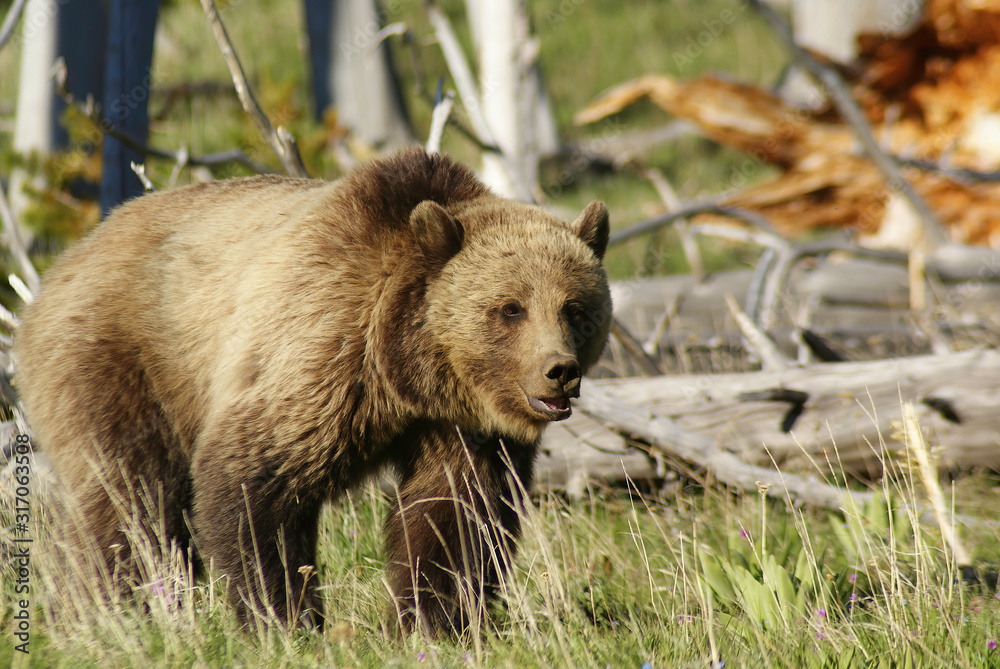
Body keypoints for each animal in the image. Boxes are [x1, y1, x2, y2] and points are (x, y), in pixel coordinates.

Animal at [15, 147, 612, 633]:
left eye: (574, 307)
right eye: (510, 308)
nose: (559, 370)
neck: (410, 373)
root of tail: (64, 263)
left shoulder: (462, 427)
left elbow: (457, 515)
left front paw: (435, 623)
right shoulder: (322, 349)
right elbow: (255, 482)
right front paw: (284, 621)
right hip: (126, 359)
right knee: (130, 496)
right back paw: (103, 611)